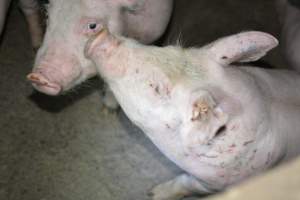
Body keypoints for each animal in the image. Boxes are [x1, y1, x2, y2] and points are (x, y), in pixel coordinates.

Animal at [83, 28, 300, 199]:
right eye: (169, 48)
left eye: (157, 88)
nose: (101, 34)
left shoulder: (213, 183)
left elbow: (184, 183)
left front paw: (152, 193)